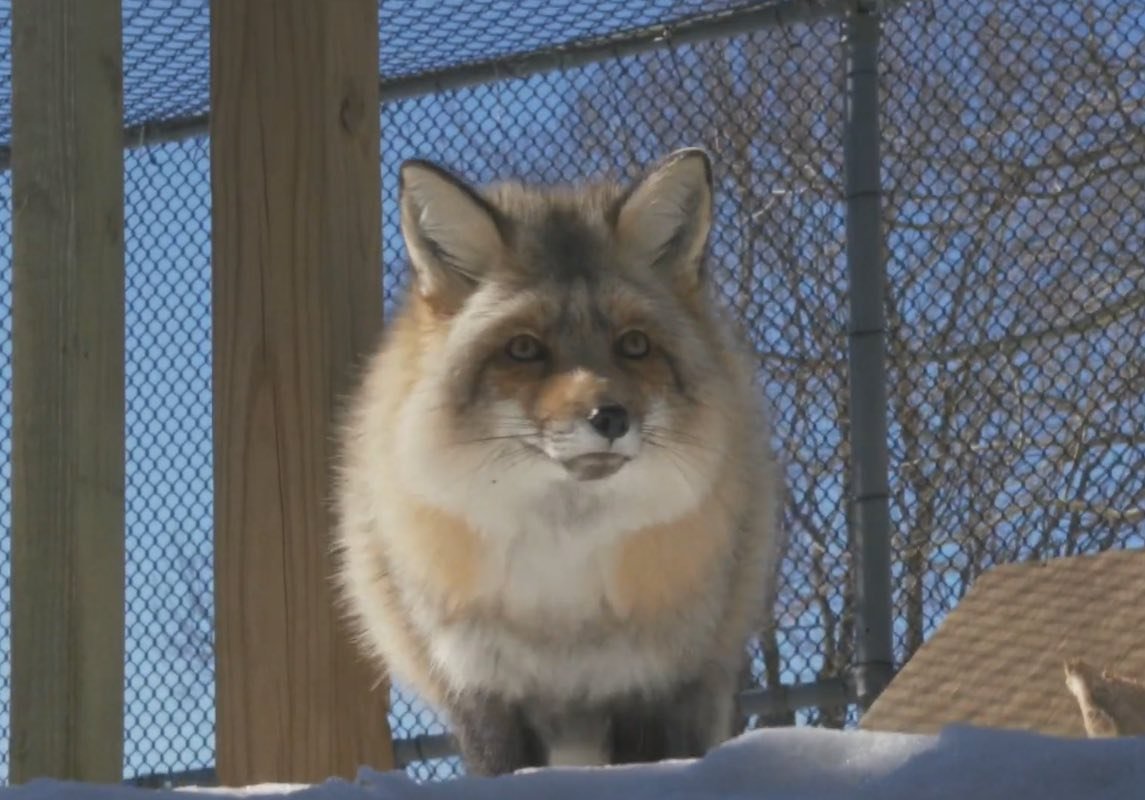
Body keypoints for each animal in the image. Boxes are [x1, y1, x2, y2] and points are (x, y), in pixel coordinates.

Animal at [333, 148, 784, 776]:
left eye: (634, 345)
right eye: (524, 349)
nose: (609, 417)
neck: (561, 592)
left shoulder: (658, 681)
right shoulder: (481, 686)